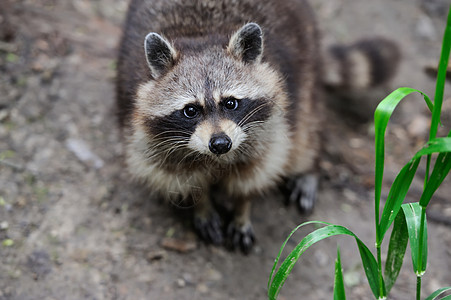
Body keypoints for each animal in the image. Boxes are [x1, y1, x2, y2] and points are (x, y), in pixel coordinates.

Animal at [115, 0, 400, 253]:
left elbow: (256, 173)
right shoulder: (149, 137)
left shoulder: (271, 128)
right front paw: (201, 204)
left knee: (306, 132)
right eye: (191, 110)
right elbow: (178, 176)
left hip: (306, 62)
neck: (201, 37)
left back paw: (309, 167)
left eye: (230, 103)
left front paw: (242, 210)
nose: (220, 144)